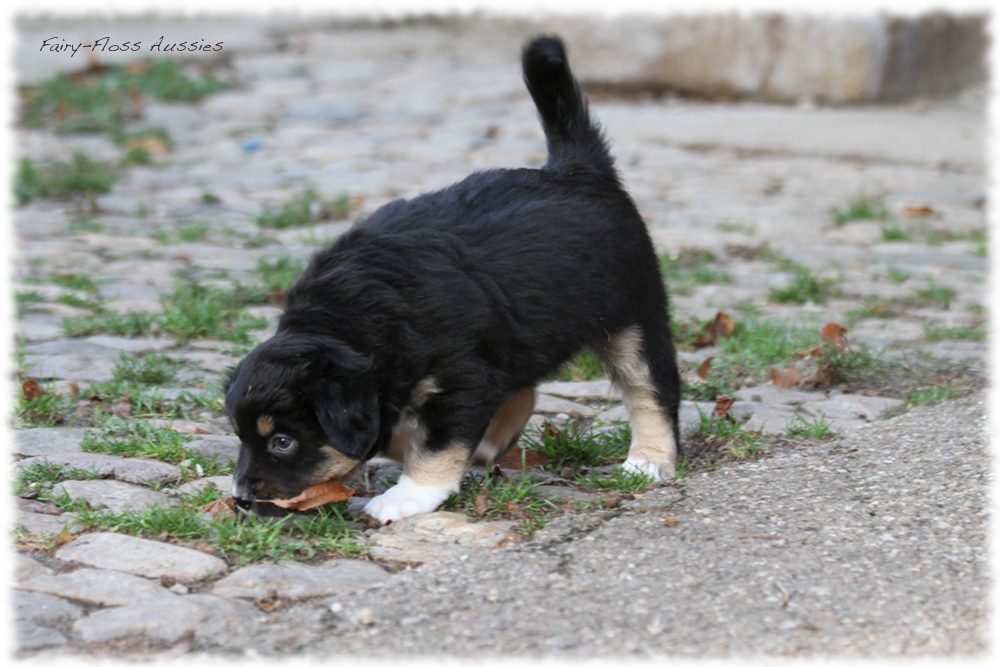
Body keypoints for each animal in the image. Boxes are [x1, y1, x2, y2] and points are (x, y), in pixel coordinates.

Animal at [225, 35, 680, 528]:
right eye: (240, 436)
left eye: (282, 441)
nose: (240, 499)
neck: (354, 320)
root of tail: (576, 168)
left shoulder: (462, 379)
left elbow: (434, 443)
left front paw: (407, 495)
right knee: (524, 386)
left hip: (634, 317)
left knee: (652, 390)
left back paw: (648, 461)